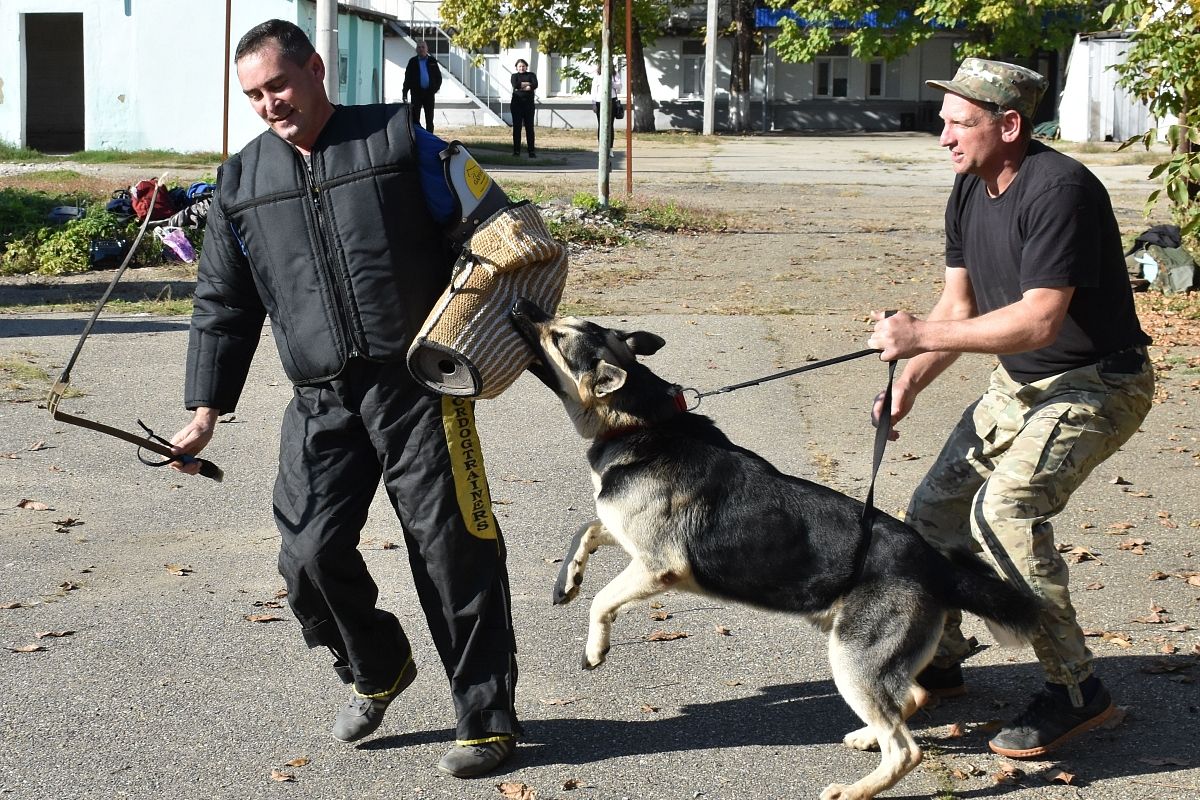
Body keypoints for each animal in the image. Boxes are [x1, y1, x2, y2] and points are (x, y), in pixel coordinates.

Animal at [506, 299, 1041, 800]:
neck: (639, 421)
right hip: (865, 657)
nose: (520, 306)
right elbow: (586, 530)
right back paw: (868, 736)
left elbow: (602, 599)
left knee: (906, 747)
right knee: (912, 697)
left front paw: (594, 648)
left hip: (851, 659)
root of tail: (933, 563)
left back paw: (854, 788)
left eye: (556, 335)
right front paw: (567, 580)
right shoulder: (625, 534)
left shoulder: (658, 567)